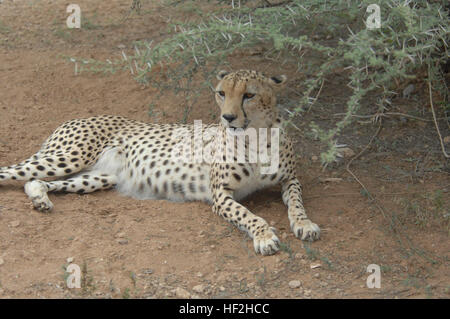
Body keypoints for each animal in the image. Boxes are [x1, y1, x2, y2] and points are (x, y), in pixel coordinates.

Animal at [1, 70, 322, 258]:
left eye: (249, 95)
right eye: (222, 93)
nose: (228, 118)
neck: (255, 134)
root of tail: (76, 117)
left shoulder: (290, 179)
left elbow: (297, 201)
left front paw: (304, 223)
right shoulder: (220, 195)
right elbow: (249, 215)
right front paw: (265, 235)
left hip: (97, 176)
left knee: (36, 181)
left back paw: (40, 199)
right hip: (68, 157)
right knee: (11, 172)